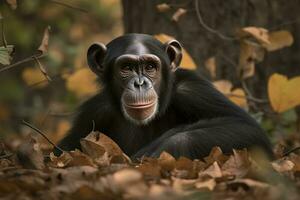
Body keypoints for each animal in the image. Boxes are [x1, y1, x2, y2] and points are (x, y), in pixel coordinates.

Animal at [54, 33, 274, 159]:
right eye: (126, 68)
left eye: (150, 67)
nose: (140, 83)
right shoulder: (94, 111)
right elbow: (62, 151)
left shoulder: (193, 89)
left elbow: (245, 126)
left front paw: (162, 148)